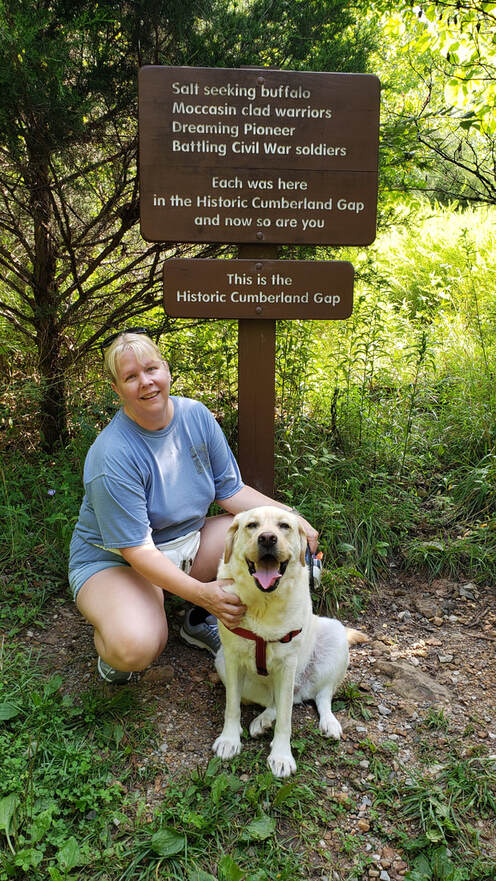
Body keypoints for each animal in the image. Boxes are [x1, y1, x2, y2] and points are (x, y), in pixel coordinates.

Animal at [212, 506, 364, 772]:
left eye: (284, 526)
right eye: (252, 525)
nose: (267, 538)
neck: (263, 603)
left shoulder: (287, 665)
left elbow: (286, 719)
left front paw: (282, 756)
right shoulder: (231, 658)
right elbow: (232, 706)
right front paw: (229, 739)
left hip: (334, 636)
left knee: (320, 697)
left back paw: (329, 723)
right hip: (220, 661)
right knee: (276, 702)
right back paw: (262, 721)